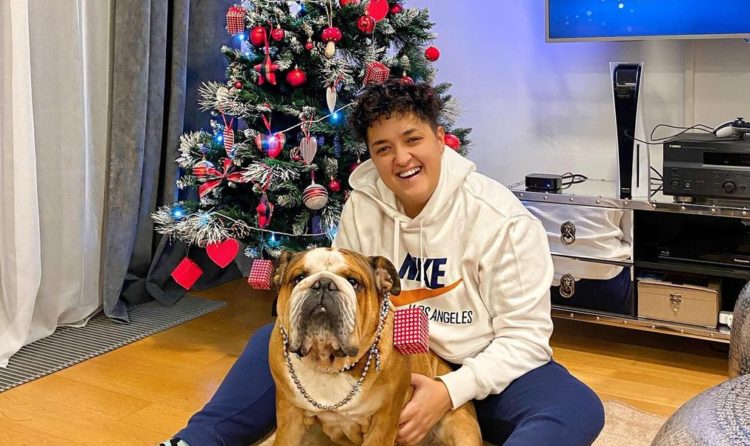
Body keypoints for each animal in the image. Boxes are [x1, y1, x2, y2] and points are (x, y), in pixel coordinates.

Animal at [263, 247, 482, 446]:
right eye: (299, 278)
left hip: (460, 427)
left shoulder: (382, 423)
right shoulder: (289, 417)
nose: (323, 283)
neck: (328, 363)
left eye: (354, 282)